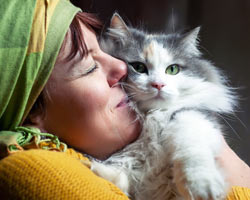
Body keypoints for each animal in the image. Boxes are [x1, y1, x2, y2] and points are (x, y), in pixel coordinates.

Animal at [90, 12, 236, 200]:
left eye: (172, 69)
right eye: (138, 67)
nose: (158, 84)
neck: (151, 117)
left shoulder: (193, 114)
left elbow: (191, 146)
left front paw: (203, 189)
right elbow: (124, 177)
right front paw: (97, 169)